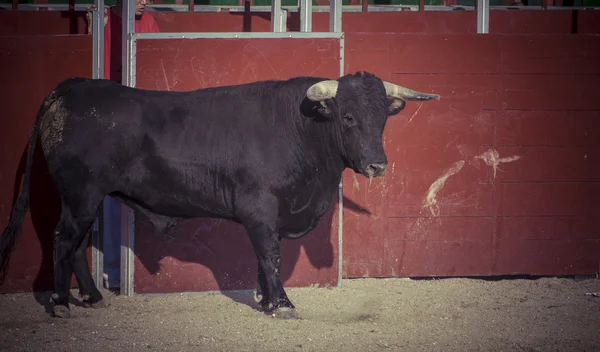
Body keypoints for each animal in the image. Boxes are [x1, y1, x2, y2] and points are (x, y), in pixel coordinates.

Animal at [0, 71, 440, 320]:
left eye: (382, 119)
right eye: (348, 117)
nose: (378, 166)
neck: (300, 130)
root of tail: (72, 89)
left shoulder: (273, 214)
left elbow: (266, 257)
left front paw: (266, 299)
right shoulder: (259, 208)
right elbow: (270, 254)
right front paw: (282, 304)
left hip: (89, 199)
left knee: (76, 244)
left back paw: (91, 297)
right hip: (81, 194)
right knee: (62, 240)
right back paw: (60, 303)